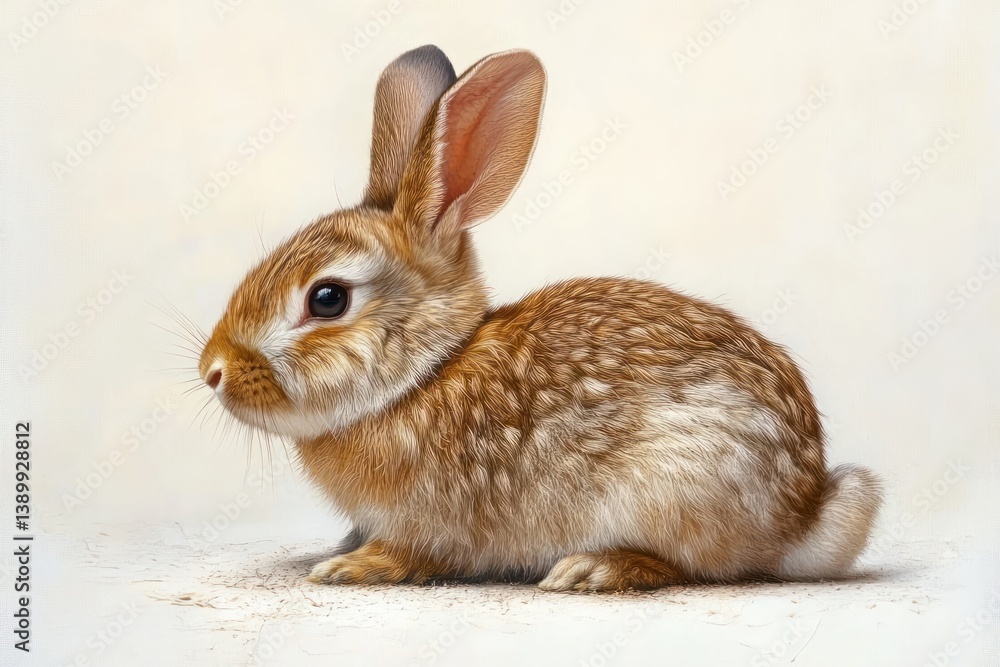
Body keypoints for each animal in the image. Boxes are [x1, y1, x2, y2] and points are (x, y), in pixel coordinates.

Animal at [197, 44, 882, 591]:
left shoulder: (439, 521)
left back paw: (593, 569)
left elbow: (419, 553)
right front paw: (343, 549)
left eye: (327, 299)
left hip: (677, 485)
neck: (427, 374)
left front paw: (350, 566)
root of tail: (805, 515)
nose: (213, 370)